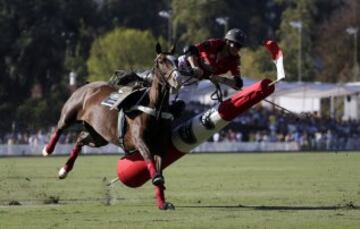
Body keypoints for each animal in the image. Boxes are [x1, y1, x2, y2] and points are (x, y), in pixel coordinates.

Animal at [43, 42, 180, 209]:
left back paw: (64, 170)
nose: (177, 79)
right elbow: (149, 159)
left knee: (80, 138)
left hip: (99, 136)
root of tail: (87, 85)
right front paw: (157, 183)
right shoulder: (140, 140)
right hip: (70, 113)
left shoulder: (160, 146)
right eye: (161, 61)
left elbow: (159, 169)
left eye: (176, 60)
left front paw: (162, 202)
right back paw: (48, 150)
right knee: (60, 127)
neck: (154, 107)